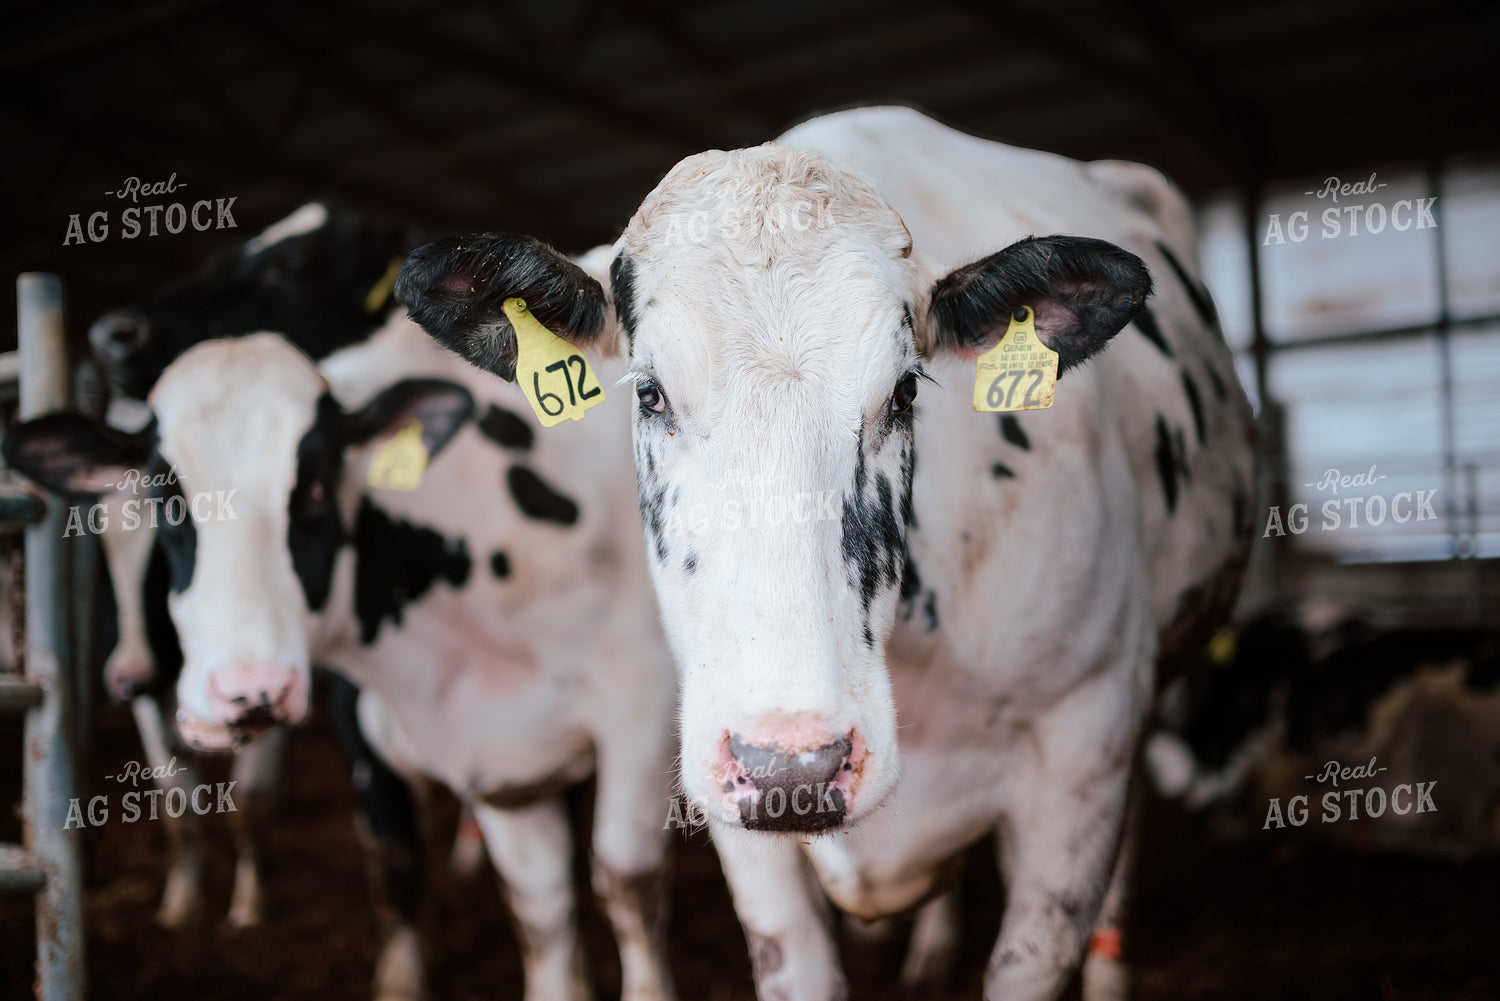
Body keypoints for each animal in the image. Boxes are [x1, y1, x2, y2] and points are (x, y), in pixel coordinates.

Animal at [21, 321, 680, 1001]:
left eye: (315, 486)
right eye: (165, 499)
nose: (248, 690)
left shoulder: (642, 709)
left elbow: (627, 884)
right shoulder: (501, 765)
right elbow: (536, 907)